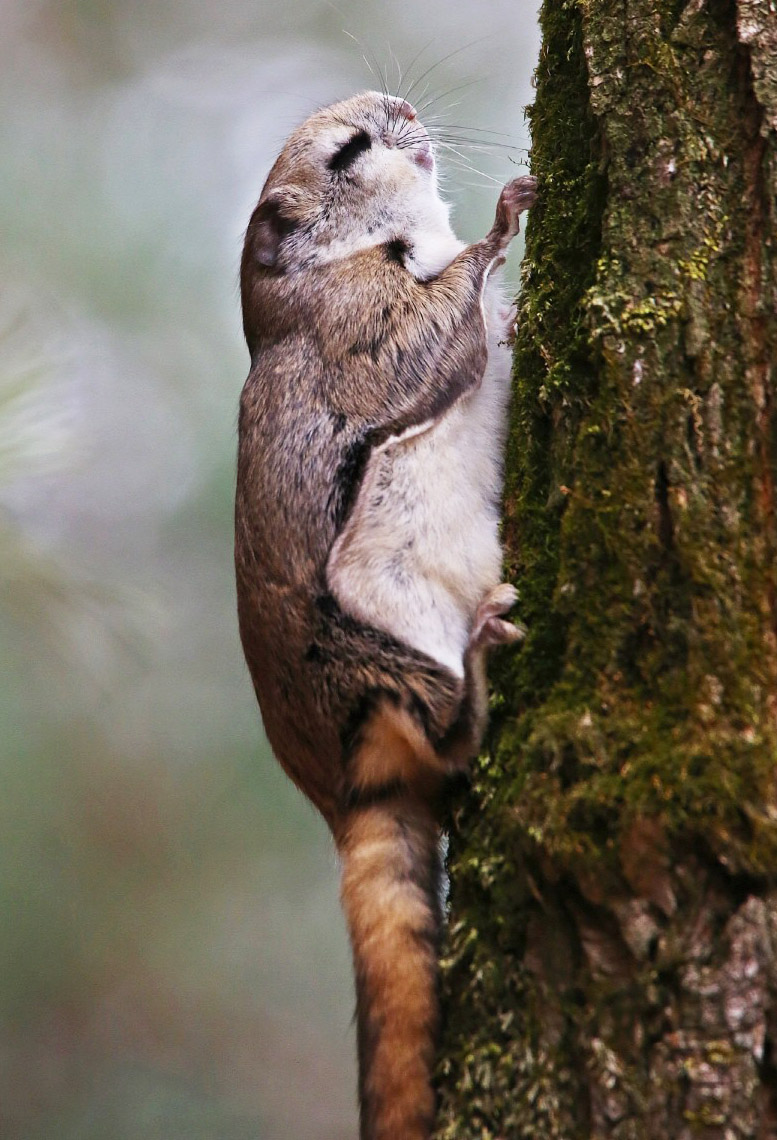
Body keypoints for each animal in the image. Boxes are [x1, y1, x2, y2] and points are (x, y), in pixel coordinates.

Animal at [233, 91, 535, 1140]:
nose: (398, 105)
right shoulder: (363, 334)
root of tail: (344, 799)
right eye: (348, 151)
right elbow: (439, 332)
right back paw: (479, 669)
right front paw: (502, 225)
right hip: (380, 656)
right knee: (446, 736)